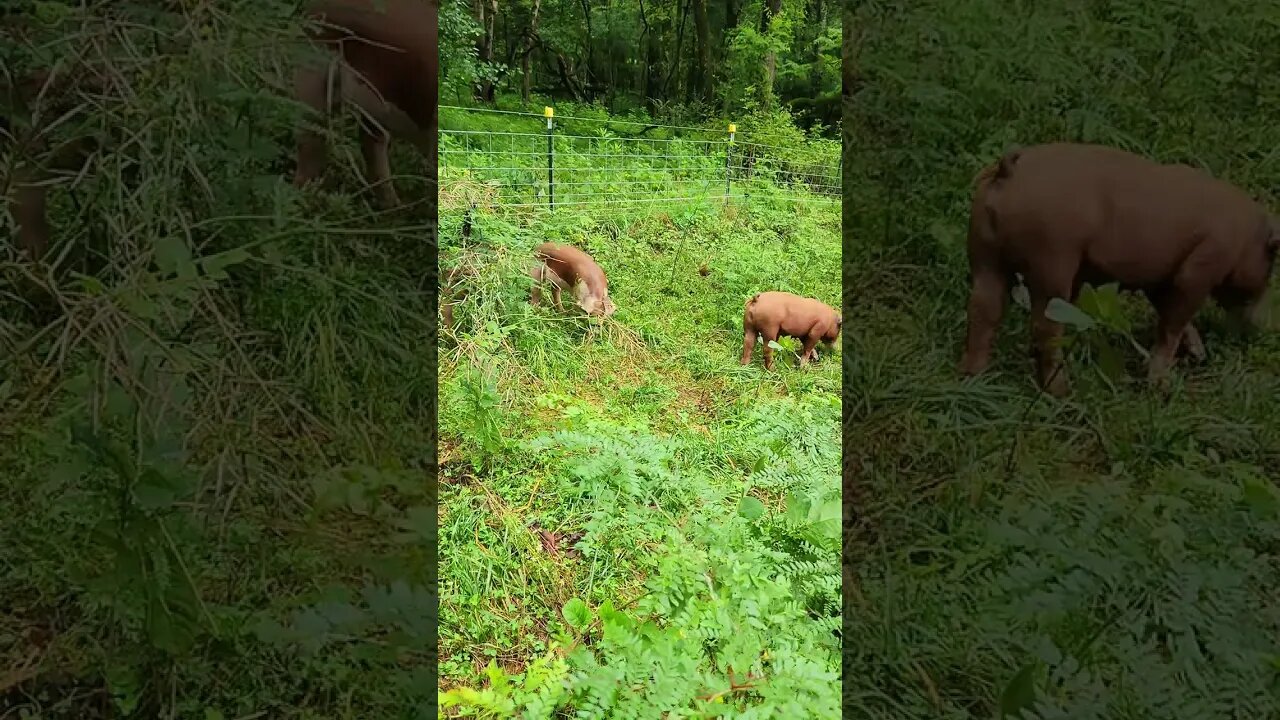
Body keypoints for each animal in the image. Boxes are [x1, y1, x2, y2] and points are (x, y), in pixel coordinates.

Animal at [962, 142, 1280, 394]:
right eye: (1271, 261)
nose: (1265, 327)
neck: (1244, 236)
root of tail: (1009, 171)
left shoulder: (1159, 278)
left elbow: (1169, 312)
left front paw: (1198, 354)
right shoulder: (1200, 269)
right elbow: (1173, 322)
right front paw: (1162, 386)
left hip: (983, 252)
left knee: (983, 309)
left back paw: (975, 378)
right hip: (1051, 260)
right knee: (1044, 327)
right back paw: (1062, 391)